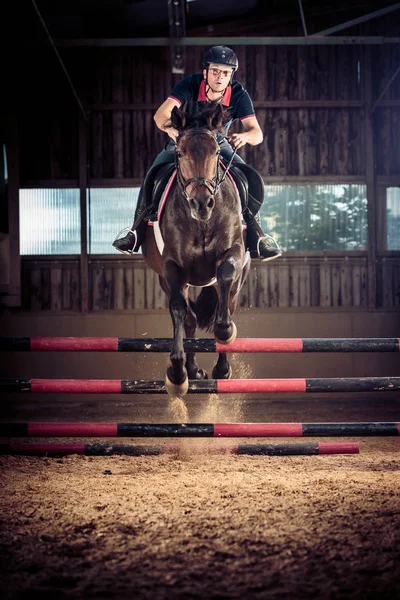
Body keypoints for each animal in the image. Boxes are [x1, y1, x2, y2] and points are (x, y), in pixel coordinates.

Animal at [143, 103, 250, 396]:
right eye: (180, 152)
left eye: (216, 152)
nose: (201, 203)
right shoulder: (171, 268)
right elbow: (180, 311)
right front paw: (178, 373)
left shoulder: (234, 252)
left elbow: (225, 278)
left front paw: (224, 331)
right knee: (189, 318)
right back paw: (192, 370)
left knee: (228, 303)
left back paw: (221, 369)